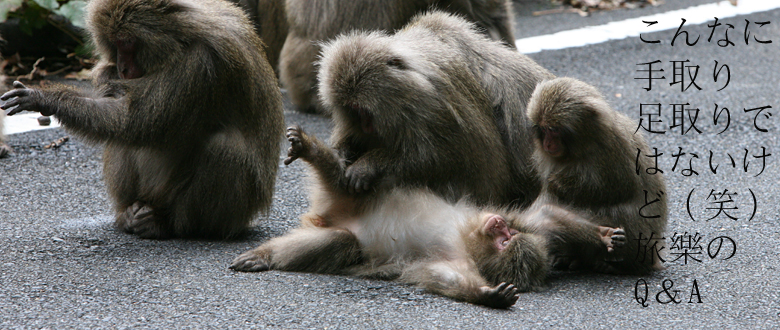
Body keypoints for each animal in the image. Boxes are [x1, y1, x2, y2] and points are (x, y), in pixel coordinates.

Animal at [0, 0, 286, 238]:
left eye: (127, 42)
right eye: (113, 44)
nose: (123, 67)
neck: (180, 42)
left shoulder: (202, 65)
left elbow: (137, 122)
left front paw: (44, 98)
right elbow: (122, 114)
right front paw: (105, 75)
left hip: (232, 211)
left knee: (224, 147)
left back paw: (172, 225)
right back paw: (128, 214)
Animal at [229, 127, 624, 310]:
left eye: (505, 240)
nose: (499, 224)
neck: (467, 237)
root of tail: (325, 214)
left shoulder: (460, 259)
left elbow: (445, 277)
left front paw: (487, 296)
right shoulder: (511, 219)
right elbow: (548, 220)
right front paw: (602, 236)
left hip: (340, 215)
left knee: (342, 241)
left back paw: (268, 255)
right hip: (355, 197)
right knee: (343, 182)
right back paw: (309, 150)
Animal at [528, 76, 668, 274]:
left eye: (554, 129)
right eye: (543, 129)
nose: (548, 144)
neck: (581, 147)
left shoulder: (611, 150)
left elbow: (618, 189)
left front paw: (558, 183)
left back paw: (612, 263)